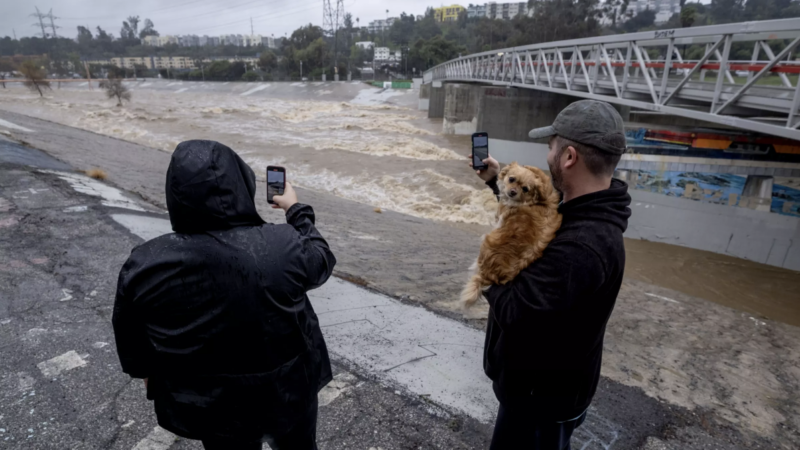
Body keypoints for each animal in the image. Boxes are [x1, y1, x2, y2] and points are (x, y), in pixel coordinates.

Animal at [460, 162, 564, 306]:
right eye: (511, 179)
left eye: (525, 189)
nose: (513, 191)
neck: (536, 201)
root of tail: (487, 277)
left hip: (486, 242)